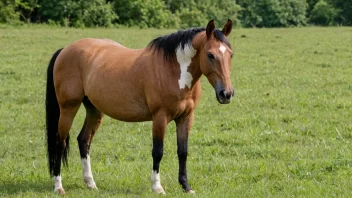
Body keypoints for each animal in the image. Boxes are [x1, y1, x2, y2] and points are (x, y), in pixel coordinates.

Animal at [45, 19, 235, 195]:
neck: (173, 70)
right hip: (68, 108)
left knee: (84, 140)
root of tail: (65, 50)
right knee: (60, 143)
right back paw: (58, 187)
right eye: (210, 55)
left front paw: (186, 187)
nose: (226, 93)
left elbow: (183, 151)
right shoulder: (160, 117)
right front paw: (157, 187)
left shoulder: (186, 117)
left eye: (231, 55)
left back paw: (91, 183)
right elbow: (158, 151)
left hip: (94, 110)